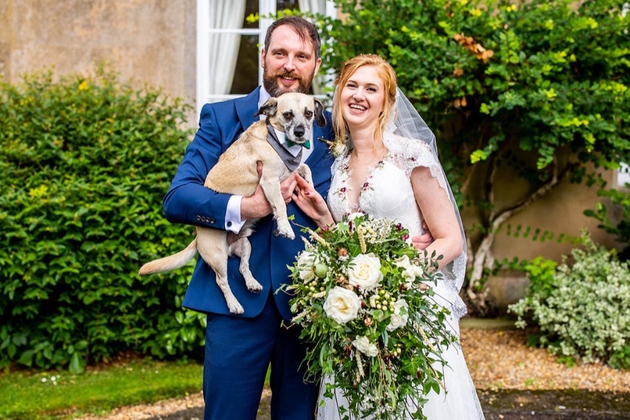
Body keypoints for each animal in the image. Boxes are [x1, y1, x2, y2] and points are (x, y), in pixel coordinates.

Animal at [141, 92, 328, 316]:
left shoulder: (290, 171)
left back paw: (252, 283)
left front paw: (310, 188)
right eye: (287, 114)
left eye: (309, 113)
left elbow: (305, 167)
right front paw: (285, 227)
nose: (300, 132)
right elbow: (280, 205)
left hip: (245, 245)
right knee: (221, 281)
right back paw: (234, 304)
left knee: (242, 267)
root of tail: (197, 237)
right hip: (218, 257)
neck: (280, 142)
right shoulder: (270, 181)